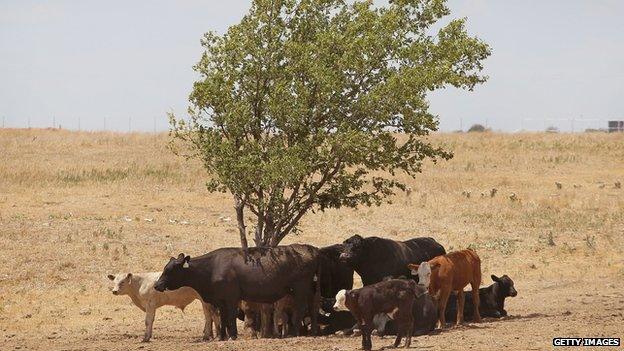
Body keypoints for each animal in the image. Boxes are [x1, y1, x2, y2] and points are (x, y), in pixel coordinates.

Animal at [154, 245, 322, 340]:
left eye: (170, 270)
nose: (157, 285)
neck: (211, 268)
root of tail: (311, 249)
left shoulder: (231, 298)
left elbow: (230, 318)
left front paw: (232, 336)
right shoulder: (220, 300)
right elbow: (222, 318)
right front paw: (222, 337)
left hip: (300, 288)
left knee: (301, 308)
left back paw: (294, 332)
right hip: (310, 289)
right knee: (312, 308)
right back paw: (313, 331)